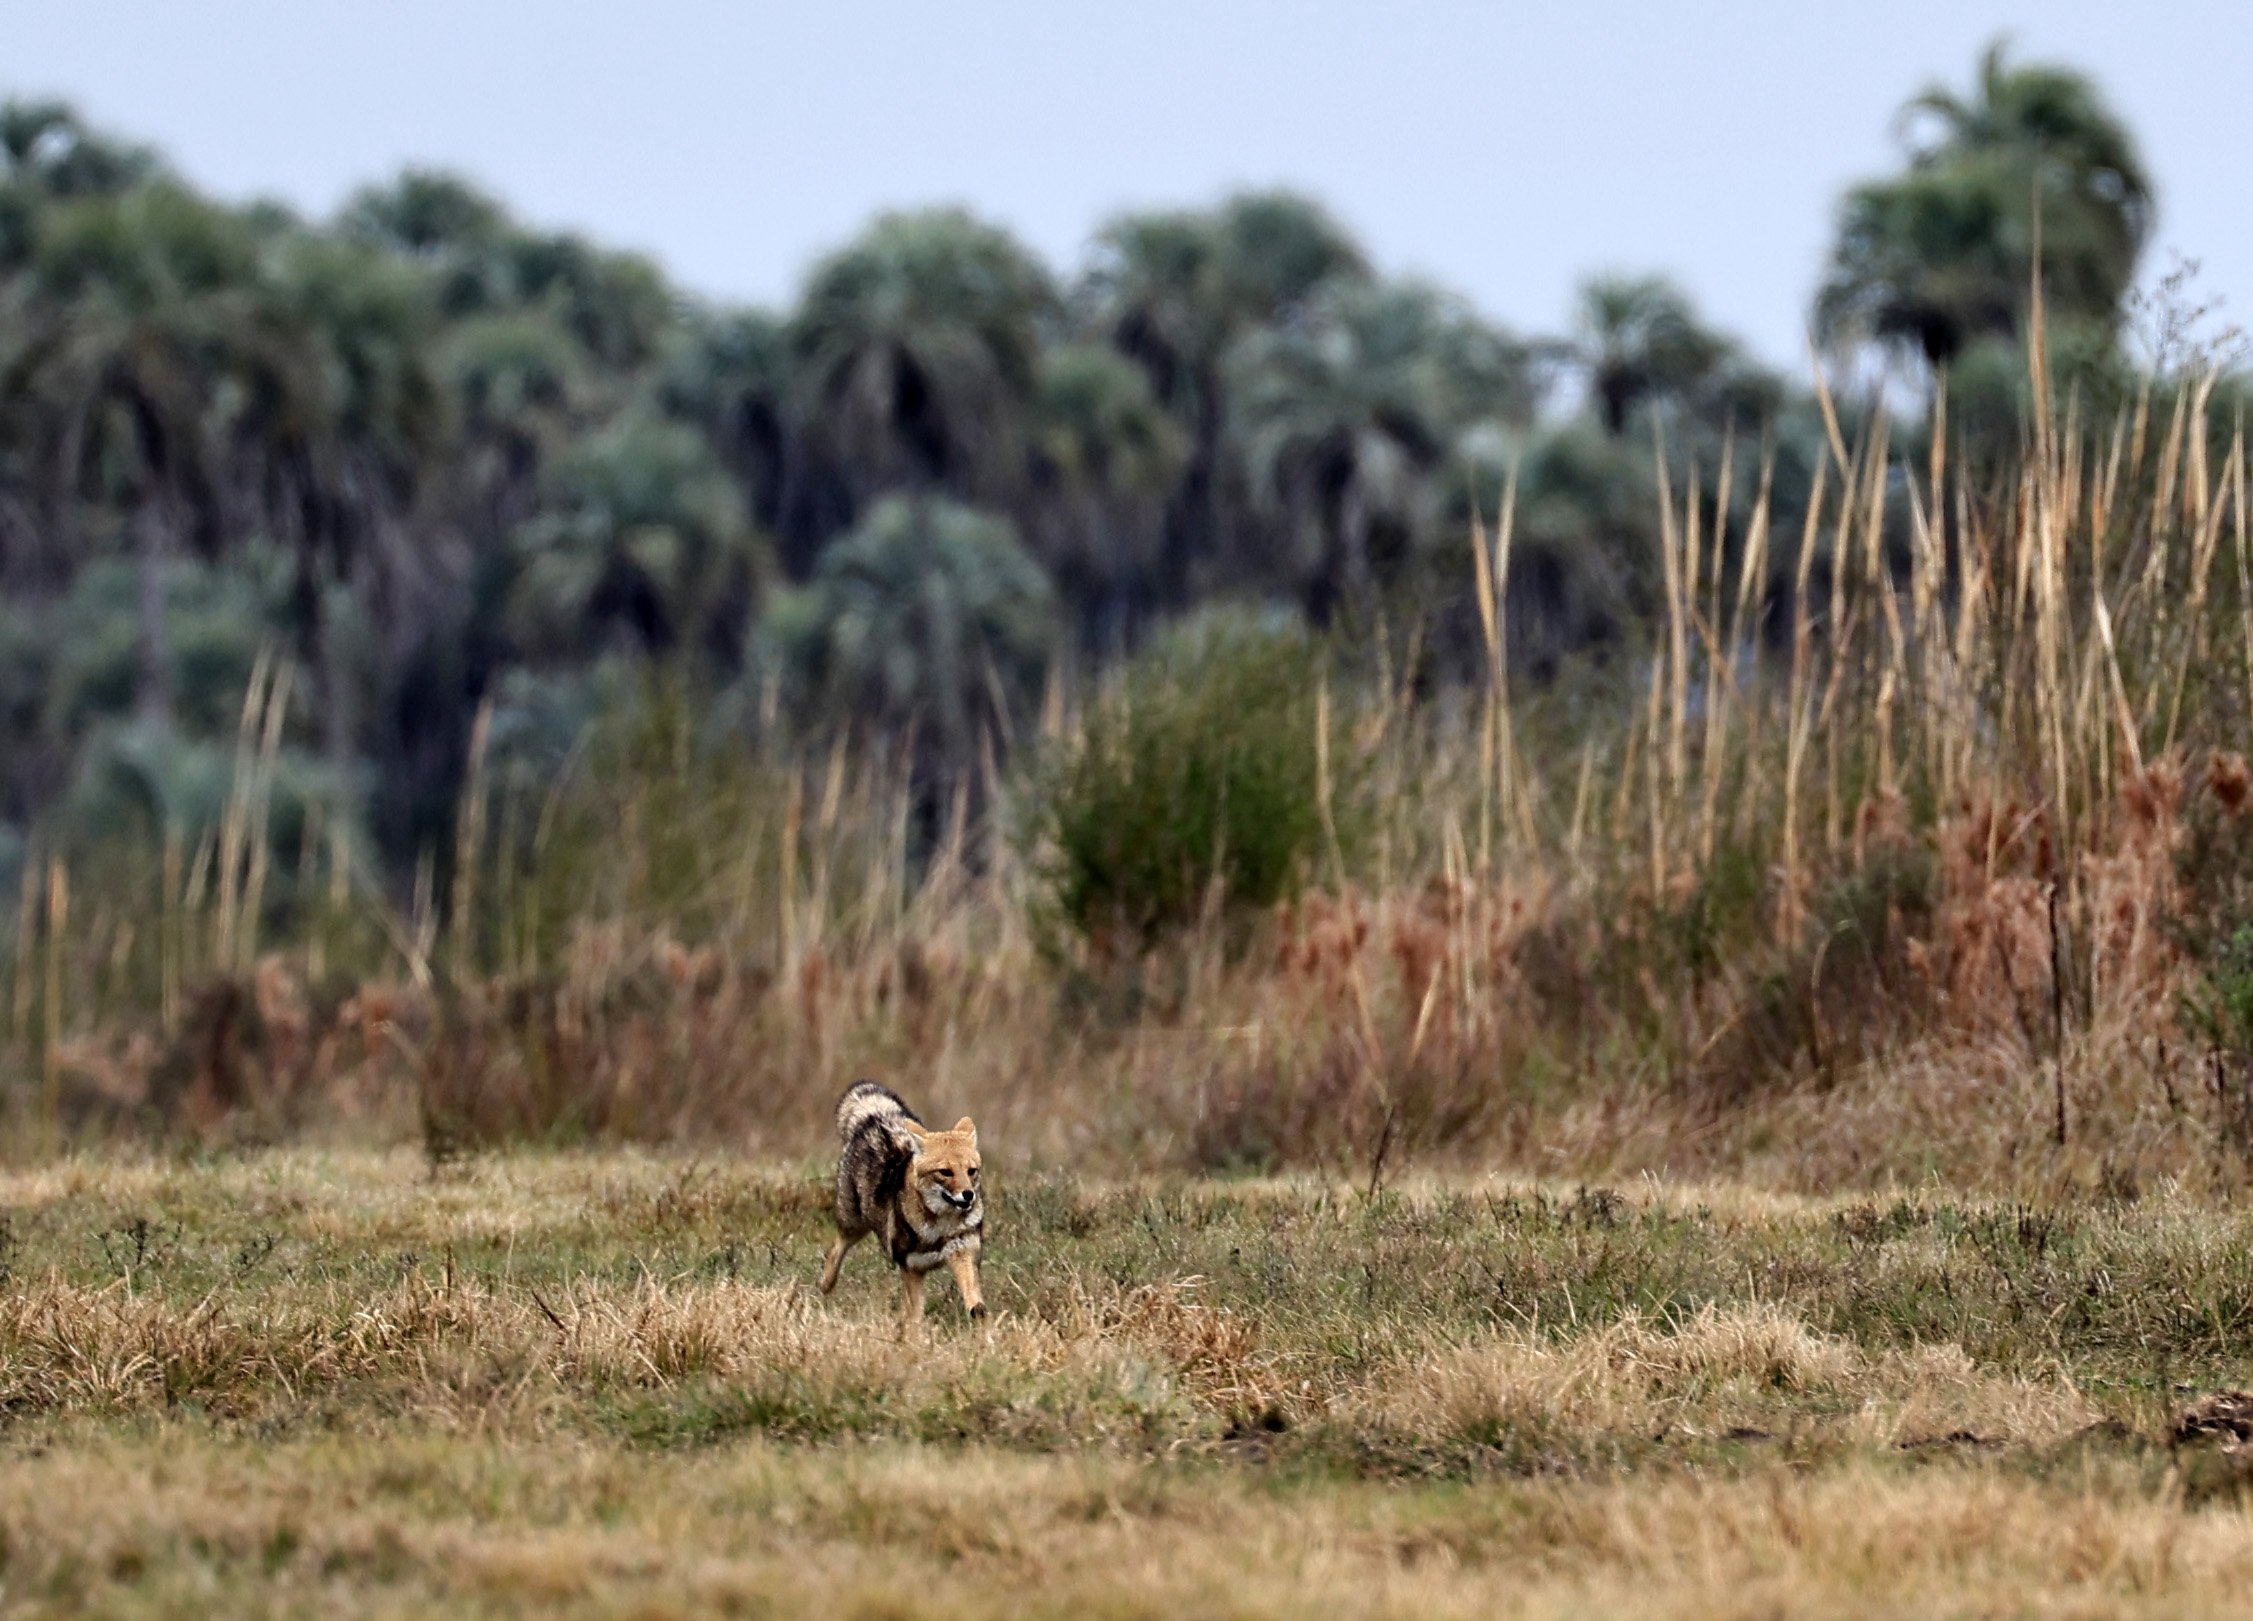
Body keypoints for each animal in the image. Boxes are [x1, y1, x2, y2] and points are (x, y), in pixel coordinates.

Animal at [819, 1080, 986, 1337]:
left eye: (971, 1171)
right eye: (945, 1172)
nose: (968, 1195)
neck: (938, 1229)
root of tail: (874, 1118)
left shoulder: (962, 1253)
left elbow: (975, 1302)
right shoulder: (911, 1268)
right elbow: (914, 1315)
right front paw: (911, 1339)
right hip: (854, 1225)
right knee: (836, 1250)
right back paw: (825, 1284)